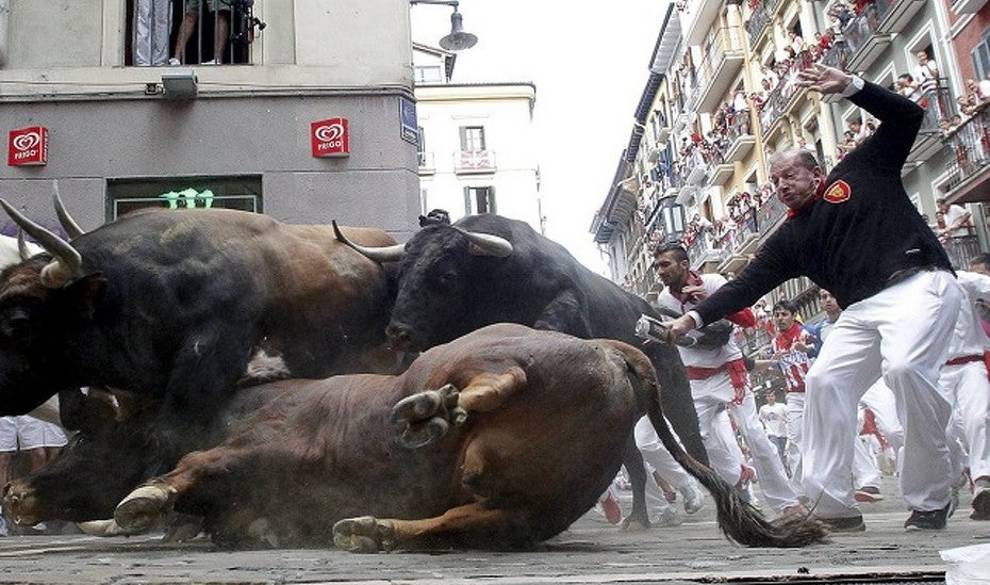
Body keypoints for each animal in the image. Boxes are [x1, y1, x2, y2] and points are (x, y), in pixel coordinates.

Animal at [110, 322, 828, 548]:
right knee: (463, 517)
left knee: (494, 375)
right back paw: (369, 526)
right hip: (529, 504)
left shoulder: (248, 444)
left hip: (475, 350)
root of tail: (611, 349)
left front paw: (141, 501)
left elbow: (192, 463)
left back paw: (428, 411)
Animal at [338, 212, 708, 528]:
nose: (398, 332)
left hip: (674, 390)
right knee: (633, 460)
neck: (496, 286)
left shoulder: (566, 300)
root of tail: (654, 315)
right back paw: (637, 519)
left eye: (447, 275)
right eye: (401, 274)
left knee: (690, 435)